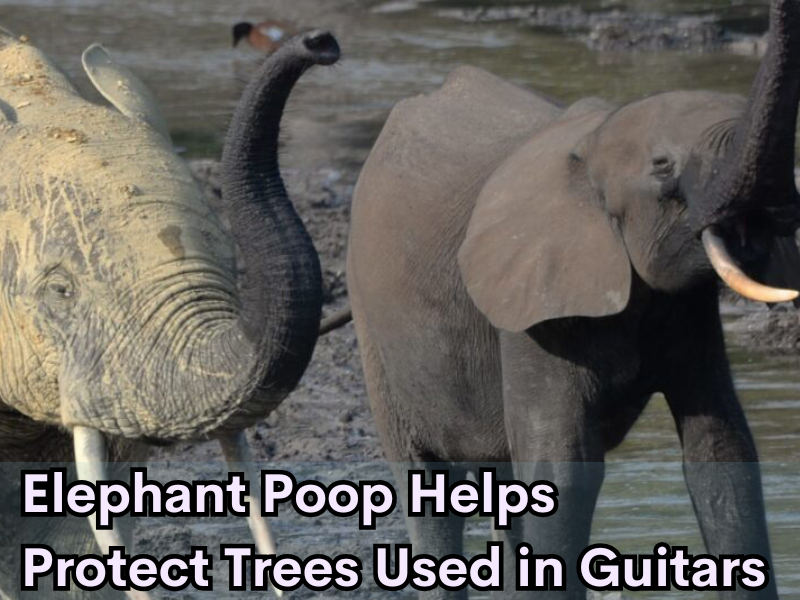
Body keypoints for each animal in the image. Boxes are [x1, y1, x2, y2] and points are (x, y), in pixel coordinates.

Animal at [347, 0, 800, 598]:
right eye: (662, 167)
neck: (591, 147)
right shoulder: (530, 307)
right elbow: (563, 467)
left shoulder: (686, 311)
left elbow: (721, 450)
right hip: (373, 331)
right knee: (427, 479)